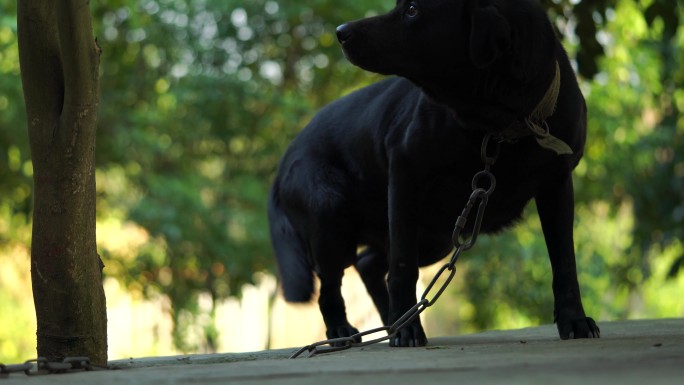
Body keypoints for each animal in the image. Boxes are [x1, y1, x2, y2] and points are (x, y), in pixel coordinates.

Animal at [268, 0, 600, 344]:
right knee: (331, 284)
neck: (498, 126)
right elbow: (402, 267)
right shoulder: (405, 172)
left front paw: (574, 320)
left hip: (436, 236)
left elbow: (564, 263)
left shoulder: (557, 185)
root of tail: (283, 162)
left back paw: (389, 320)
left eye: (413, 9)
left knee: (368, 263)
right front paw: (407, 331)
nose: (341, 32)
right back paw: (347, 329)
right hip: (332, 215)